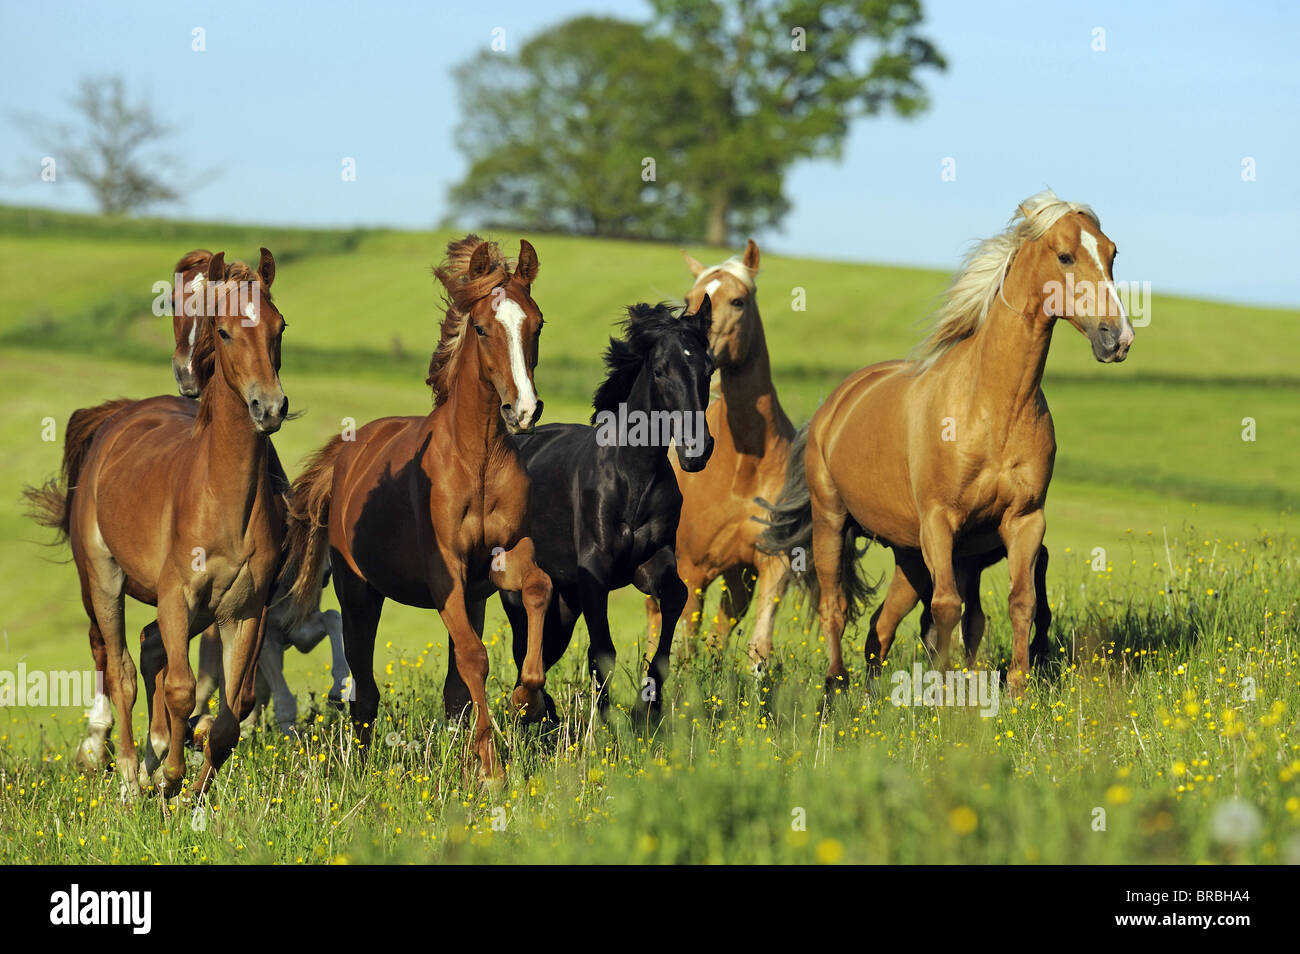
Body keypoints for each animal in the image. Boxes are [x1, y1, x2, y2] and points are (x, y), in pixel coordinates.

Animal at [23, 248, 289, 800]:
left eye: (280, 327)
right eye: (225, 331)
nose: (270, 407)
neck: (222, 499)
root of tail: (118, 416)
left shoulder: (245, 611)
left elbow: (231, 714)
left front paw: (192, 793)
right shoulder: (176, 597)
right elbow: (180, 688)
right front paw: (167, 777)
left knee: (145, 651)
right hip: (103, 579)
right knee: (118, 665)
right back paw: (126, 774)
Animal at [284, 235, 548, 779]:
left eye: (537, 323)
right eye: (482, 328)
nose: (524, 410)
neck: (478, 460)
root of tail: (347, 455)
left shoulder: (503, 556)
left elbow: (537, 589)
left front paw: (525, 701)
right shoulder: (445, 571)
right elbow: (475, 659)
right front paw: (492, 769)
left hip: (471, 598)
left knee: (451, 688)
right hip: (359, 595)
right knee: (364, 690)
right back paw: (362, 771)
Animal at [486, 302, 717, 722]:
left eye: (708, 368)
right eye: (660, 370)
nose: (697, 449)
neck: (632, 476)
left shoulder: (652, 564)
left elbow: (675, 599)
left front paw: (649, 705)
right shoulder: (594, 569)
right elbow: (602, 651)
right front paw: (607, 722)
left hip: (565, 603)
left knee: (545, 649)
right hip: (518, 592)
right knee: (524, 649)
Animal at [647, 239, 795, 665]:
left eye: (738, 301)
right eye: (690, 299)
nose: (695, 354)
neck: (743, 465)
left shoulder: (771, 565)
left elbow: (759, 648)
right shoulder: (692, 570)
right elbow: (681, 648)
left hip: (738, 578)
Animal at [759, 191, 1133, 696]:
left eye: (1112, 254)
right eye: (1065, 256)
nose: (1118, 337)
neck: (991, 408)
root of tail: (834, 405)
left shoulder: (1025, 521)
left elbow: (1022, 601)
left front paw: (1017, 688)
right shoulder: (940, 522)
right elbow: (947, 610)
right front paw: (942, 693)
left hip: (909, 555)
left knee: (880, 627)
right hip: (832, 522)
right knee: (835, 608)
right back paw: (836, 685)